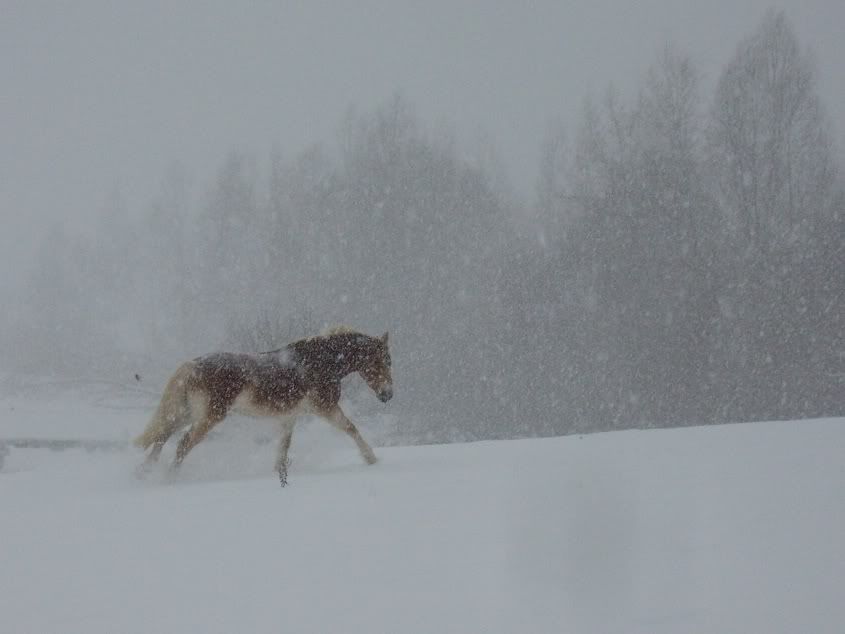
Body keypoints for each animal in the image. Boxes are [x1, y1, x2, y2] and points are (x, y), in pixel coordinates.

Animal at [134, 326, 392, 484]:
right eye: (382, 361)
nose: (387, 395)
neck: (322, 362)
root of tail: (191, 365)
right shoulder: (325, 408)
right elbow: (351, 428)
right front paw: (371, 459)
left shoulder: (290, 416)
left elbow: (284, 446)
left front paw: (279, 474)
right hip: (208, 417)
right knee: (182, 444)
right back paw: (168, 479)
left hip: (185, 413)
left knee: (161, 437)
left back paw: (143, 474)